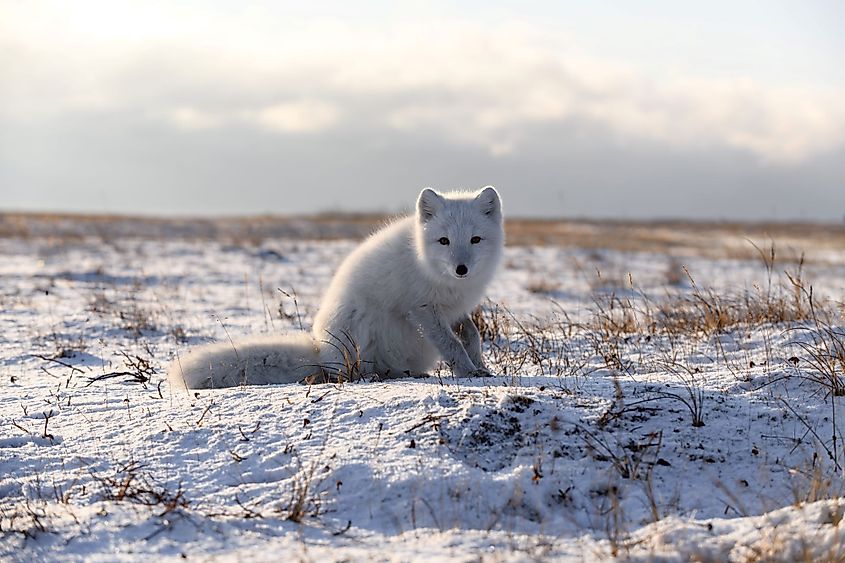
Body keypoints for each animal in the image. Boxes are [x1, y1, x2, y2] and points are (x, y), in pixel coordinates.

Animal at [171, 187, 502, 390]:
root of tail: (320, 349)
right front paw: (468, 372)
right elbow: (452, 344)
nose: (461, 269)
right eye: (443, 241)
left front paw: (481, 366)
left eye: (475, 239)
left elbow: (471, 335)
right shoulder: (422, 309)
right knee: (354, 371)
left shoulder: (455, 310)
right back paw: (384, 374)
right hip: (365, 329)